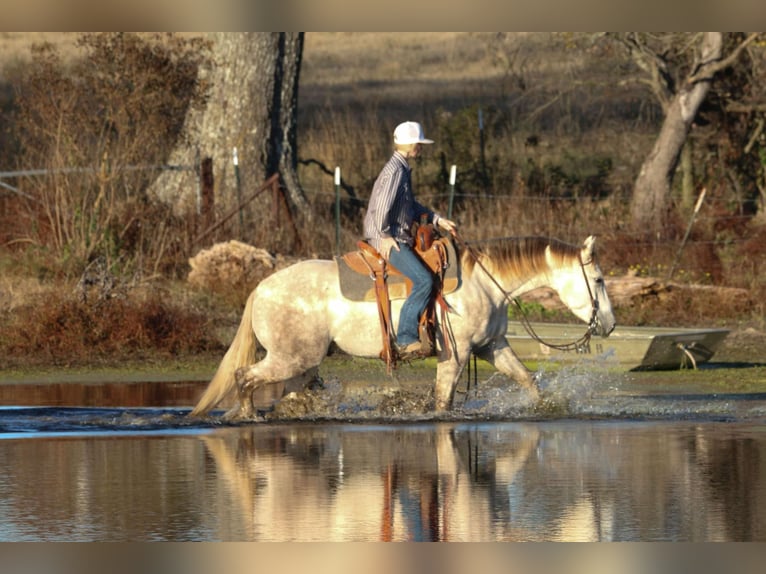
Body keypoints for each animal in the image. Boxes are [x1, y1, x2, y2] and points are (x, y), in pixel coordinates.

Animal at [192, 236, 616, 420]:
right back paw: (247, 416)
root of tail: (260, 289)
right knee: (244, 377)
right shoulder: (456, 355)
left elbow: (527, 379)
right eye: (597, 280)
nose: (610, 325)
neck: (484, 282)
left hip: (303, 365)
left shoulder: (492, 346)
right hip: (289, 359)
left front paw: (547, 407)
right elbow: (443, 401)